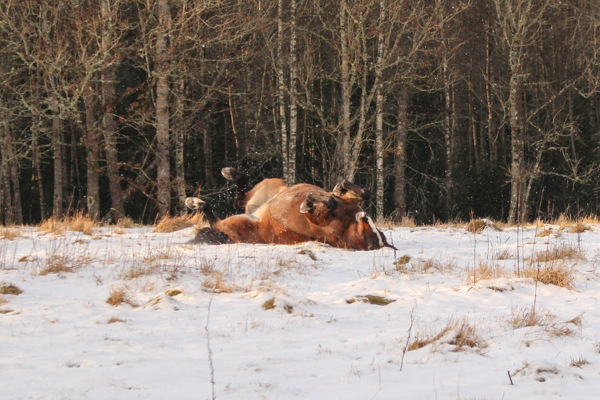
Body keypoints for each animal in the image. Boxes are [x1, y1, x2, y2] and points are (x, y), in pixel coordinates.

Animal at [185, 168, 396, 251]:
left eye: (370, 242)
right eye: (375, 235)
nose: (365, 217)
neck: (347, 225)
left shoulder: (318, 220)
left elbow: (327, 203)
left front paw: (308, 203)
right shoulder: (348, 202)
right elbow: (362, 193)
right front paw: (340, 187)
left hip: (238, 223)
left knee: (215, 220)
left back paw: (194, 202)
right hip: (271, 186)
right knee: (240, 196)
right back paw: (230, 172)